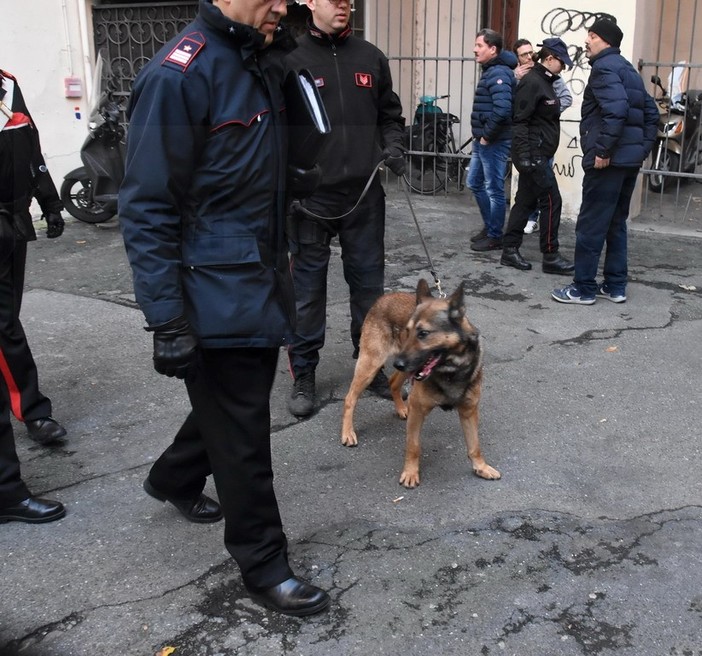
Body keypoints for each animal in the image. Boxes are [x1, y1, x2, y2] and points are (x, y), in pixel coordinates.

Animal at [340, 276, 500, 486]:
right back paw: (347, 432)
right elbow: (413, 445)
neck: (451, 369)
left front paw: (481, 467)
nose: (398, 363)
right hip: (371, 365)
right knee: (350, 398)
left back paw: (401, 408)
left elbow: (475, 446)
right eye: (407, 332)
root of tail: (384, 297)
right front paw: (410, 473)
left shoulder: (469, 411)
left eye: (423, 333)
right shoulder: (418, 410)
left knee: (393, 382)